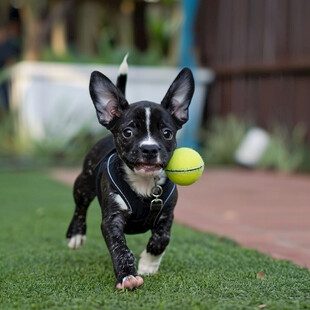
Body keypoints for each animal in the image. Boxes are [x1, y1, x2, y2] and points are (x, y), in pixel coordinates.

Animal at [66, 57, 194, 290]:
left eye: (167, 133)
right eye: (128, 132)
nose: (150, 149)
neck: (144, 183)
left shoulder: (167, 215)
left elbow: (162, 239)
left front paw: (148, 264)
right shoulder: (112, 221)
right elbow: (120, 248)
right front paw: (128, 275)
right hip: (83, 183)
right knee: (80, 207)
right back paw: (77, 234)